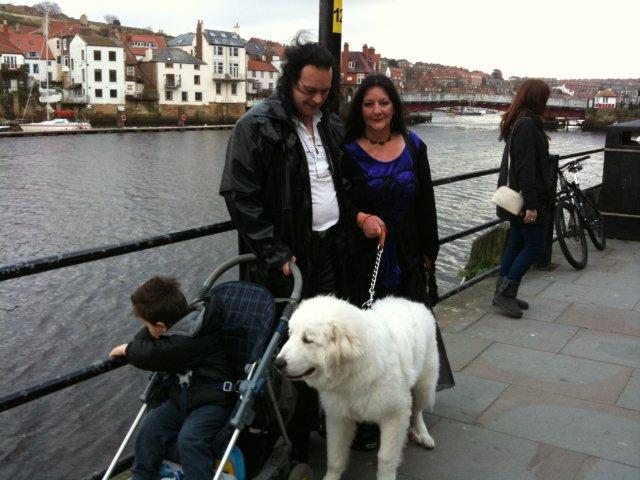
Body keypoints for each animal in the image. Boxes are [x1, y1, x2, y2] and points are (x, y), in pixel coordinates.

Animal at [276, 296, 440, 480]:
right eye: (290, 334)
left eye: (307, 340)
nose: (277, 363)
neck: (354, 370)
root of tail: (411, 302)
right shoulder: (338, 417)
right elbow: (335, 456)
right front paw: (331, 477)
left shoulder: (395, 415)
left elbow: (386, 457)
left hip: (425, 387)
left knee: (417, 410)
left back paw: (423, 434)